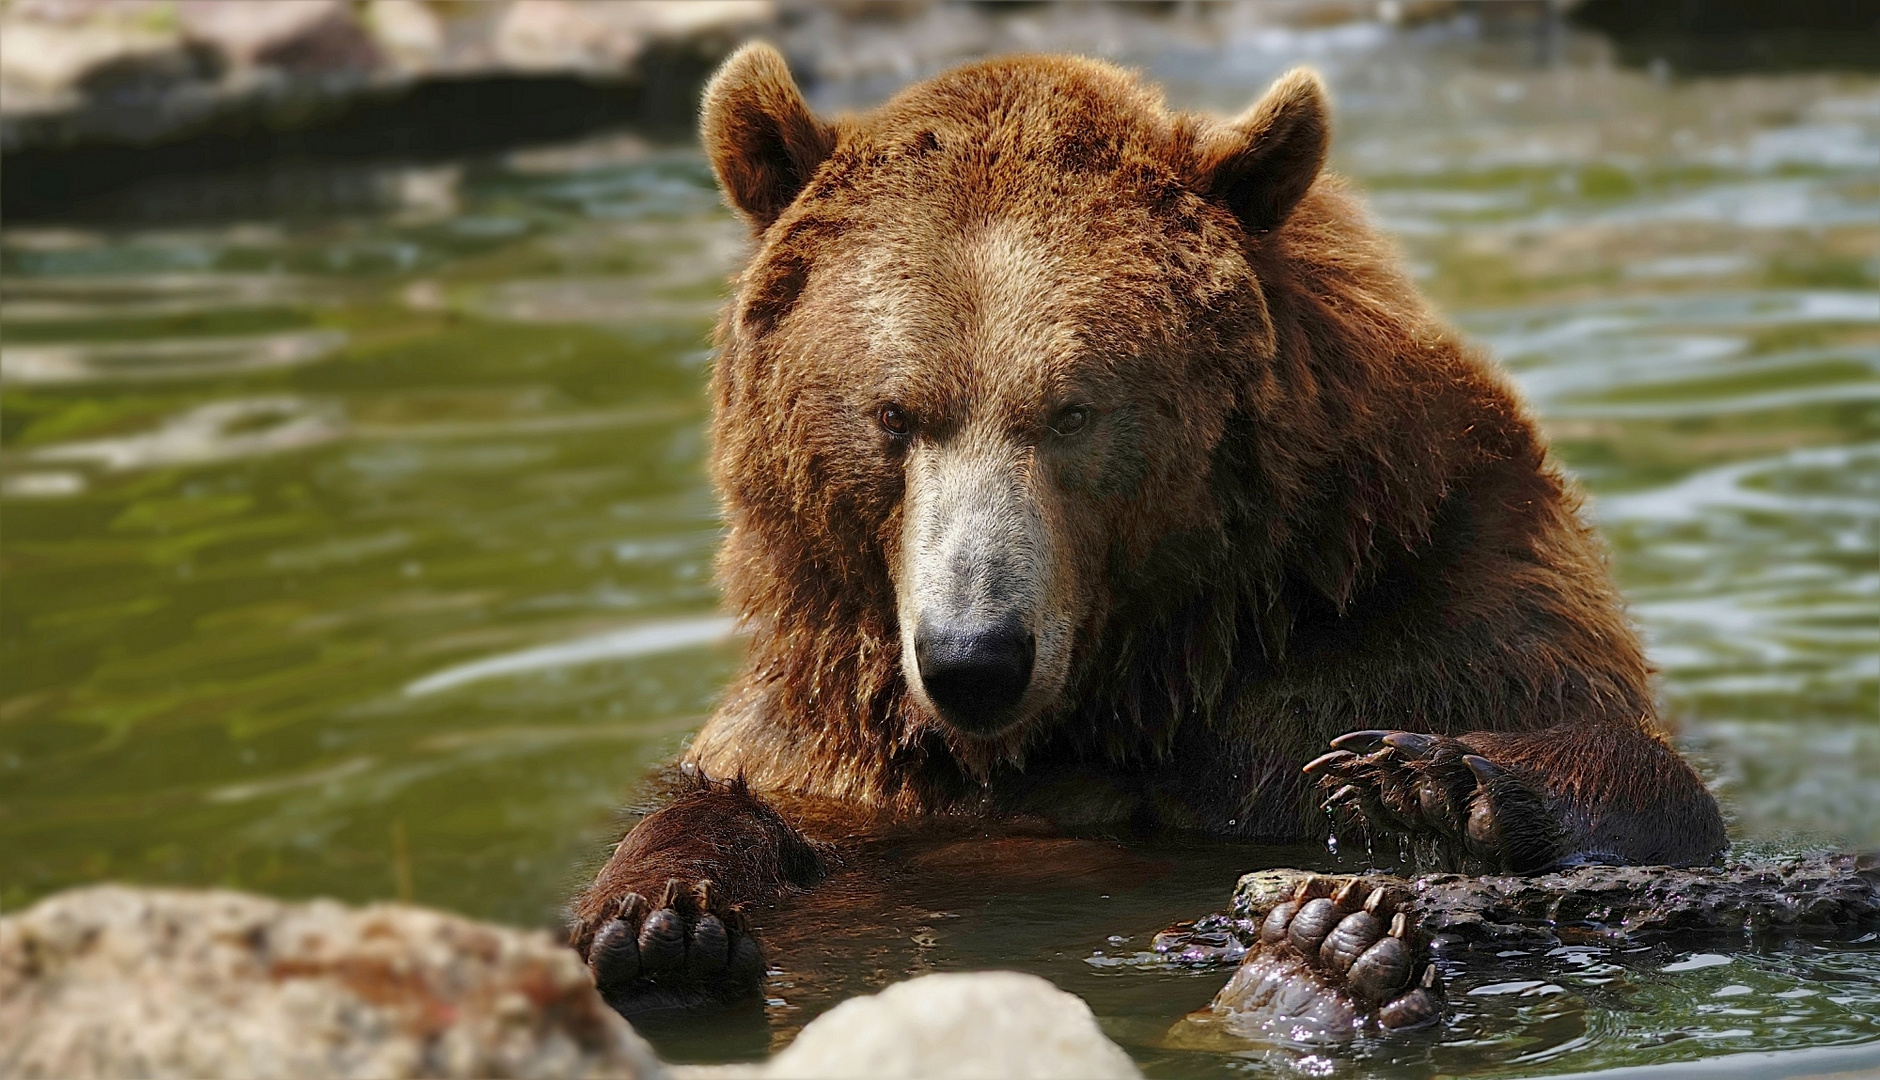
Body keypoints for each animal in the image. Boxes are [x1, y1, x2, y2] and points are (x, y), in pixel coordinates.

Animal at [564, 42, 1722, 1023]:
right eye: (893, 414)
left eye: (1072, 410)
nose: (975, 658)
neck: (1134, 680)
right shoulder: (856, 748)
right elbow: (735, 813)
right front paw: (661, 917)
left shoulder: (1420, 605)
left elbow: (1627, 771)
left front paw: (1430, 778)